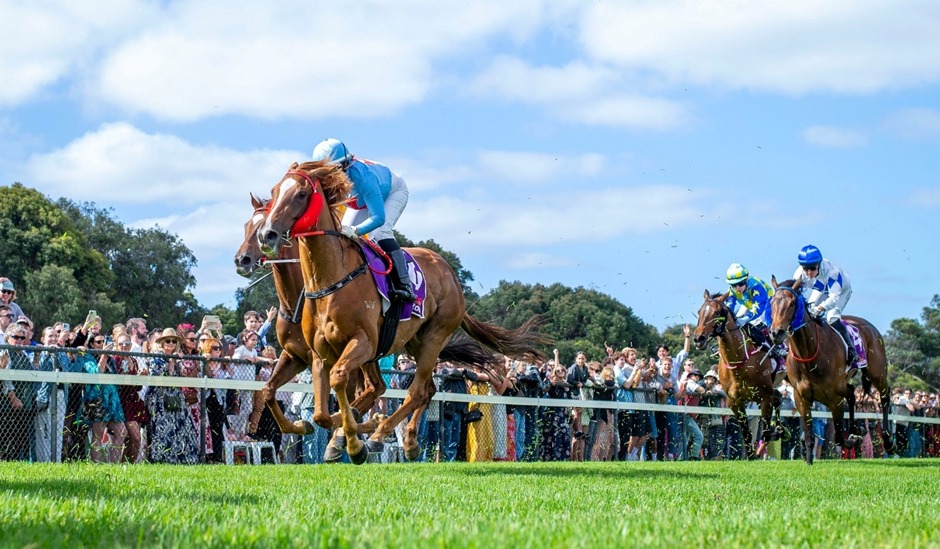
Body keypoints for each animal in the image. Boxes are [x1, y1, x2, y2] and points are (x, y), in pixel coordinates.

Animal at [234, 194, 388, 439]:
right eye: (246, 226)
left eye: (261, 227)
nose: (242, 260)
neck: (296, 302)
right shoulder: (294, 355)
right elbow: (268, 390)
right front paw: (301, 425)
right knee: (373, 388)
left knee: (373, 388)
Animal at [256, 160, 549, 463]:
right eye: (275, 191)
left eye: (301, 194)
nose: (266, 234)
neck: (330, 280)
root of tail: (452, 277)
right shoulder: (318, 353)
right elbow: (316, 412)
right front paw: (323, 428)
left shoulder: (363, 342)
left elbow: (339, 382)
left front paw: (355, 443)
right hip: (412, 343)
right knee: (425, 390)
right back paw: (405, 441)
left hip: (433, 337)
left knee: (416, 391)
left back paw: (379, 434)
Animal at [693, 290, 783, 459]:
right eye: (700, 311)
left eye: (717, 313)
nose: (698, 338)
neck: (739, 361)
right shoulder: (734, 402)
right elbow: (746, 434)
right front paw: (752, 455)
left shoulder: (765, 396)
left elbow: (766, 431)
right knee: (779, 398)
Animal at [768, 276, 894, 464]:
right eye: (772, 302)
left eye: (791, 303)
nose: (776, 333)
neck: (809, 354)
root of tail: (870, 326)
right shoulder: (801, 396)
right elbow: (809, 435)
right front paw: (808, 461)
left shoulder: (835, 398)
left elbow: (839, 437)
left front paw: (852, 440)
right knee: (852, 393)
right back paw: (856, 429)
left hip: (876, 373)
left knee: (884, 395)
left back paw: (887, 440)